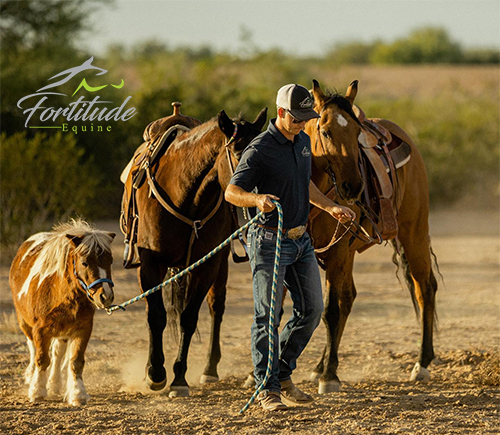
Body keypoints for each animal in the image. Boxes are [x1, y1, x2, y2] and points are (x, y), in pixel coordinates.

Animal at [9, 220, 115, 408]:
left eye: (110, 261)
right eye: (85, 263)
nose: (106, 296)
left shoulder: (83, 329)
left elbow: (75, 361)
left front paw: (78, 393)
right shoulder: (40, 329)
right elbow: (42, 358)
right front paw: (37, 391)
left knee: (58, 353)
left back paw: (55, 384)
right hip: (25, 323)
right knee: (32, 347)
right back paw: (31, 376)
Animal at [133, 107, 266, 396]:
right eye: (240, 152)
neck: (185, 196)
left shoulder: (207, 265)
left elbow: (189, 318)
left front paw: (179, 379)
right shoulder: (150, 263)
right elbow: (156, 315)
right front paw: (155, 373)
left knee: (217, 307)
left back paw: (209, 369)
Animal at [302, 79, 436, 396]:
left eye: (355, 132)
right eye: (325, 131)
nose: (353, 186)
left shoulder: (337, 252)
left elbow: (330, 311)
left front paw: (330, 377)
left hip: (414, 234)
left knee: (425, 289)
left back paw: (422, 363)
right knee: (349, 297)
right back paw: (319, 367)